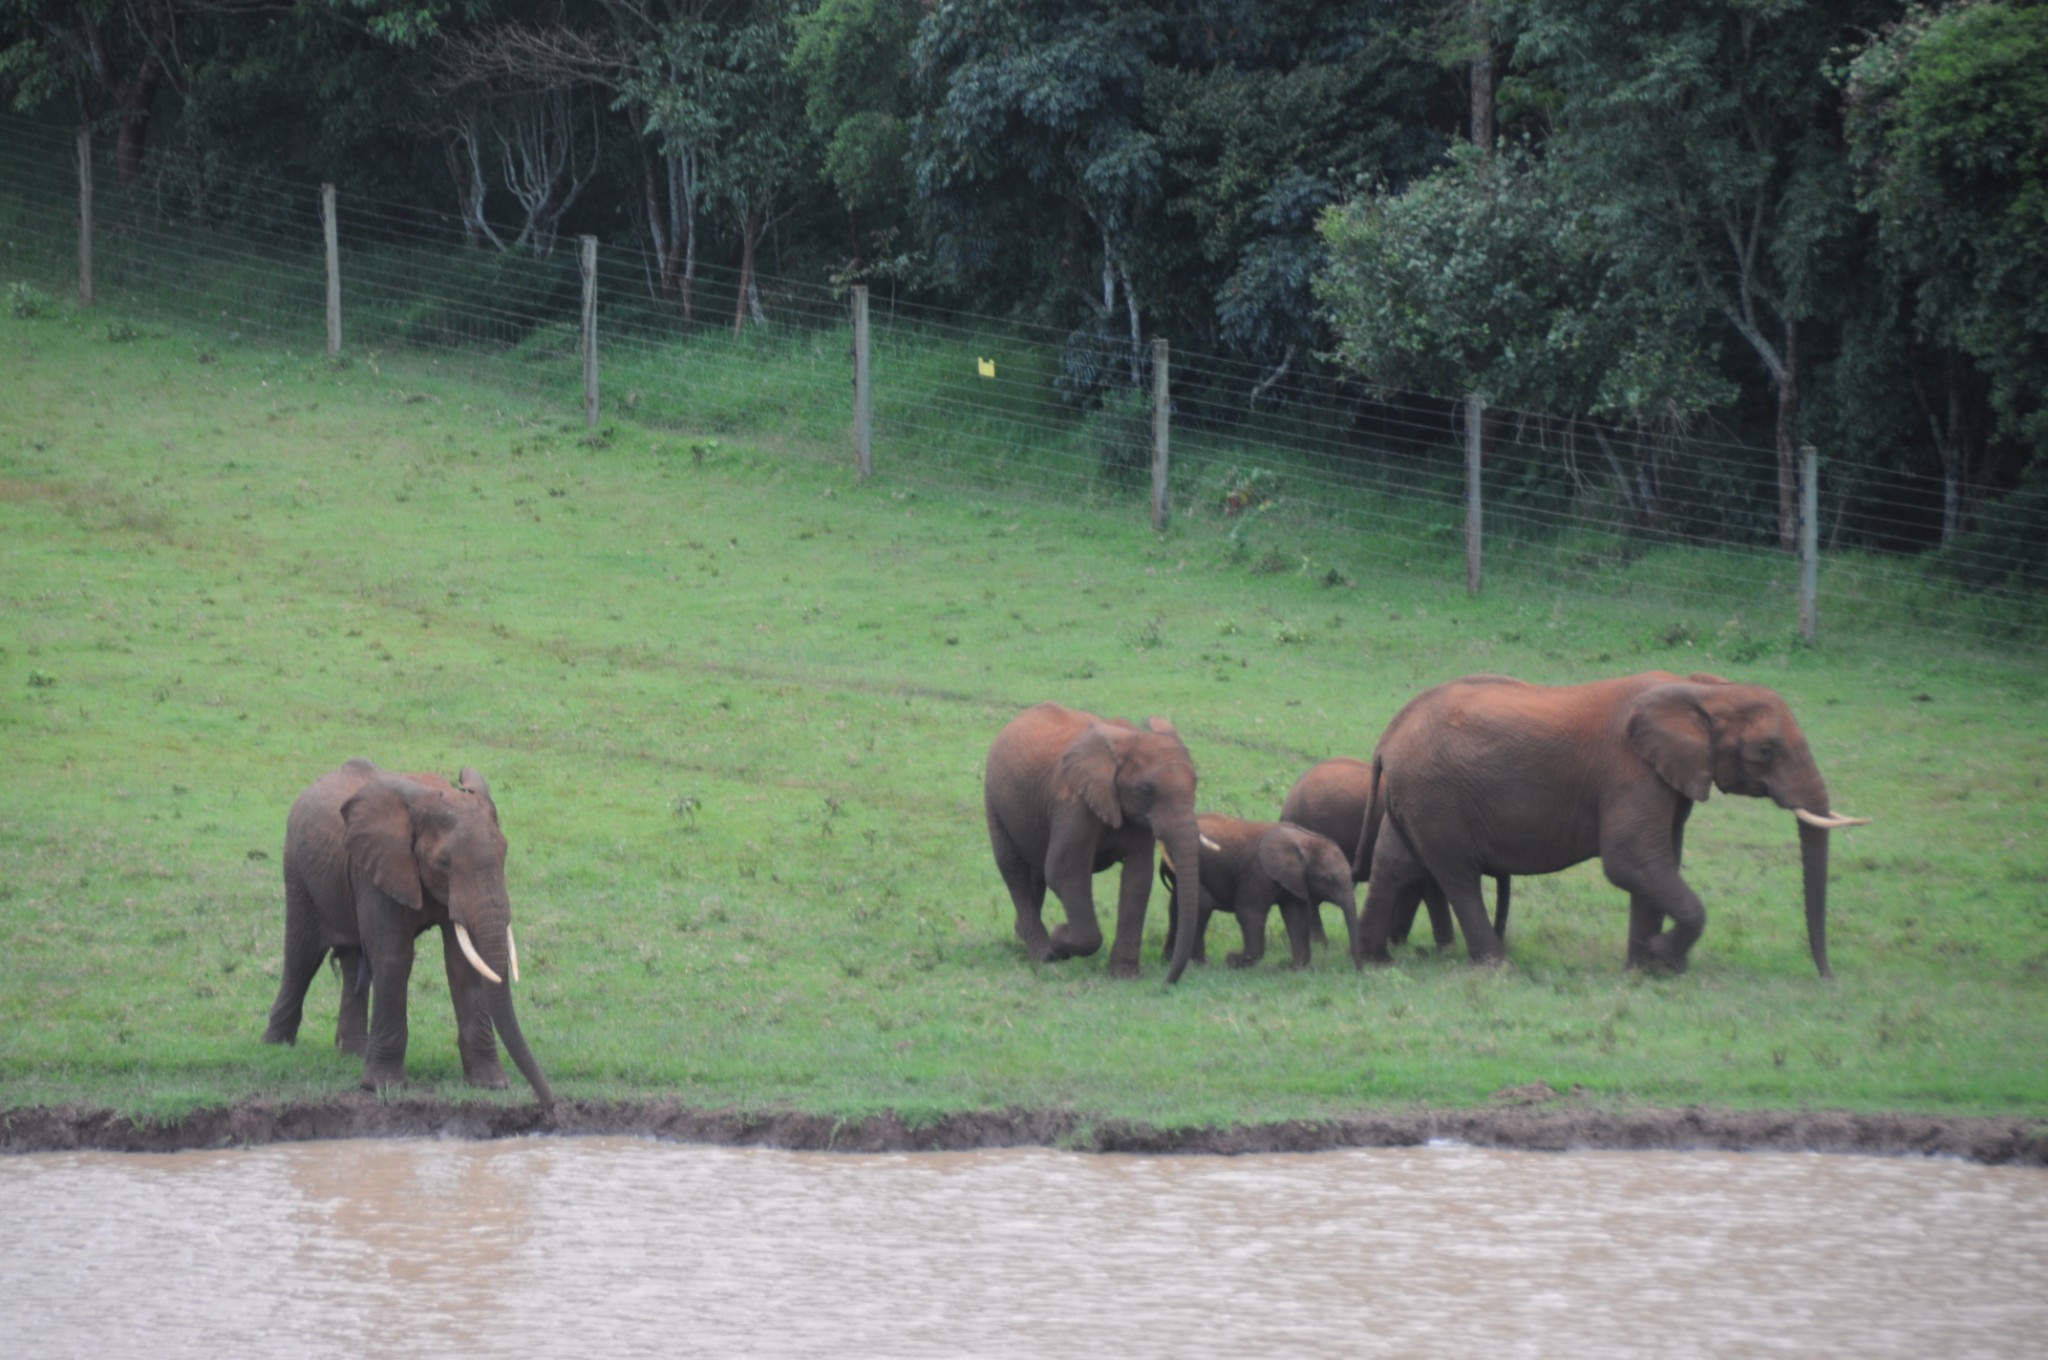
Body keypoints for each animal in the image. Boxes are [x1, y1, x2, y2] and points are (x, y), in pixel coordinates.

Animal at [260, 753, 557, 1106]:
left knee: (353, 962)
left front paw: (491, 1084)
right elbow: (394, 958)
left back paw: (353, 1052)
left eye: (504, 853)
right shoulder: (378, 865)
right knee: (302, 956)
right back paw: (275, 1045)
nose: (550, 1103)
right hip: (297, 867)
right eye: (443, 863)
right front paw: (382, 1087)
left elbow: (463, 962)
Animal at [983, 704, 1204, 983]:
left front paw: (1125, 975)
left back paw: (1023, 935)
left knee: (1036, 871)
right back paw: (1043, 954)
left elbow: (1138, 879)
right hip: (993, 798)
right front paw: (1059, 937)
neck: (1130, 739)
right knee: (1013, 867)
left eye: (1195, 786)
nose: (1167, 982)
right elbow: (1064, 872)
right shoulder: (1074, 805)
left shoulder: (1139, 819)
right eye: (1146, 791)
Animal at [1155, 819, 1359, 966]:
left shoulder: (1293, 879)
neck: (1302, 839)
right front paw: (1233, 960)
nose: (1358, 968)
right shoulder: (1258, 873)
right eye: (1329, 879)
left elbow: (1296, 915)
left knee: (1177, 909)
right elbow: (1249, 912)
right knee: (1201, 908)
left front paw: (1296, 968)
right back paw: (1201, 963)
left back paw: (1170, 959)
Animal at [1277, 757, 1507, 950]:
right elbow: (1426, 886)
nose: (1503, 940)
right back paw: (1320, 943)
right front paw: (1443, 947)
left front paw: (1397, 941)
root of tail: (1286, 806)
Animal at [1351, 671, 1867, 979]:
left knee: (1394, 863)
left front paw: (1644, 969)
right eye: (1765, 751)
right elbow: (1630, 862)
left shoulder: (1665, 778)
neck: (1702, 688)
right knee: (1457, 875)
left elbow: (1657, 863)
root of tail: (1388, 737)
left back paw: (1374, 964)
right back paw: (1498, 967)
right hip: (1438, 798)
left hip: (1416, 795)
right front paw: (1665, 957)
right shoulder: (1631, 771)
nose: (1827, 977)